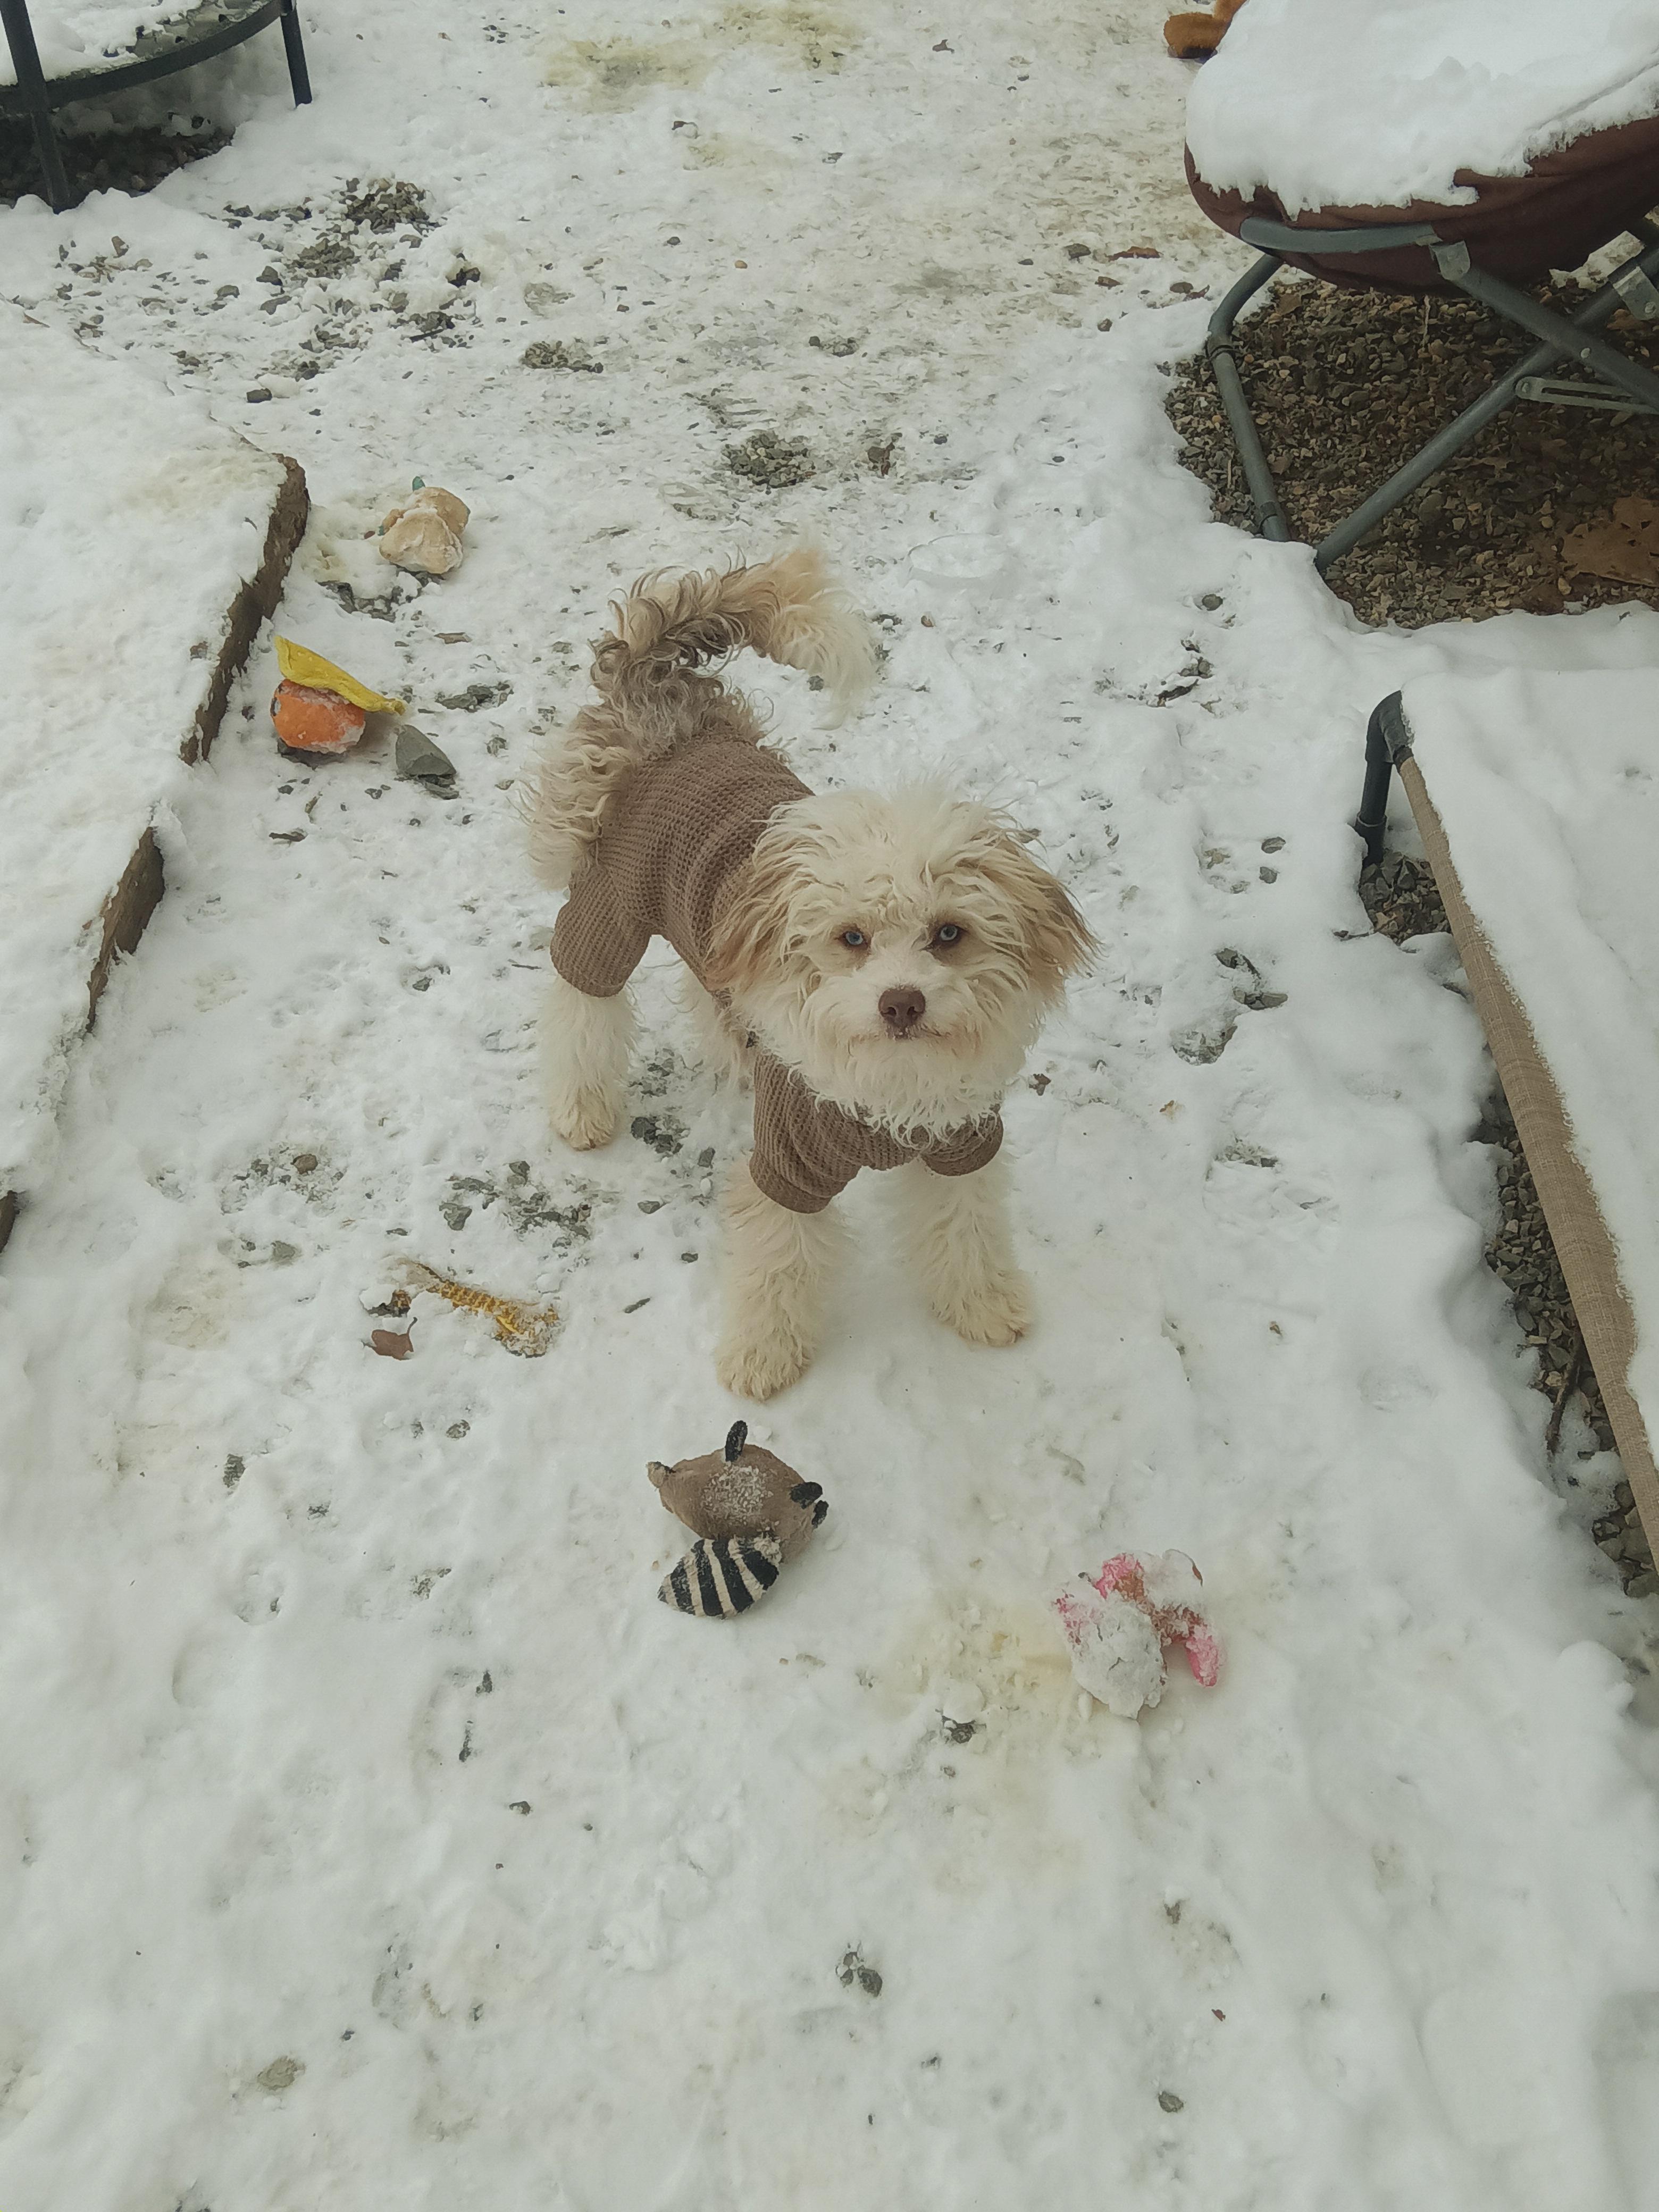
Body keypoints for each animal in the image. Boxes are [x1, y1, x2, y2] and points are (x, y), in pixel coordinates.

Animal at [530, 548, 1093, 1400]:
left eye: (949, 934)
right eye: (851, 938)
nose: (902, 1003)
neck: (889, 1090)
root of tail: (667, 701)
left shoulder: (963, 1145)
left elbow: (966, 1229)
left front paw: (984, 1305)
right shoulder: (788, 1164)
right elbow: (778, 1262)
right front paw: (762, 1357)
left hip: (710, 936)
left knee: (705, 987)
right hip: (608, 913)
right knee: (581, 1007)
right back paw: (582, 1108)